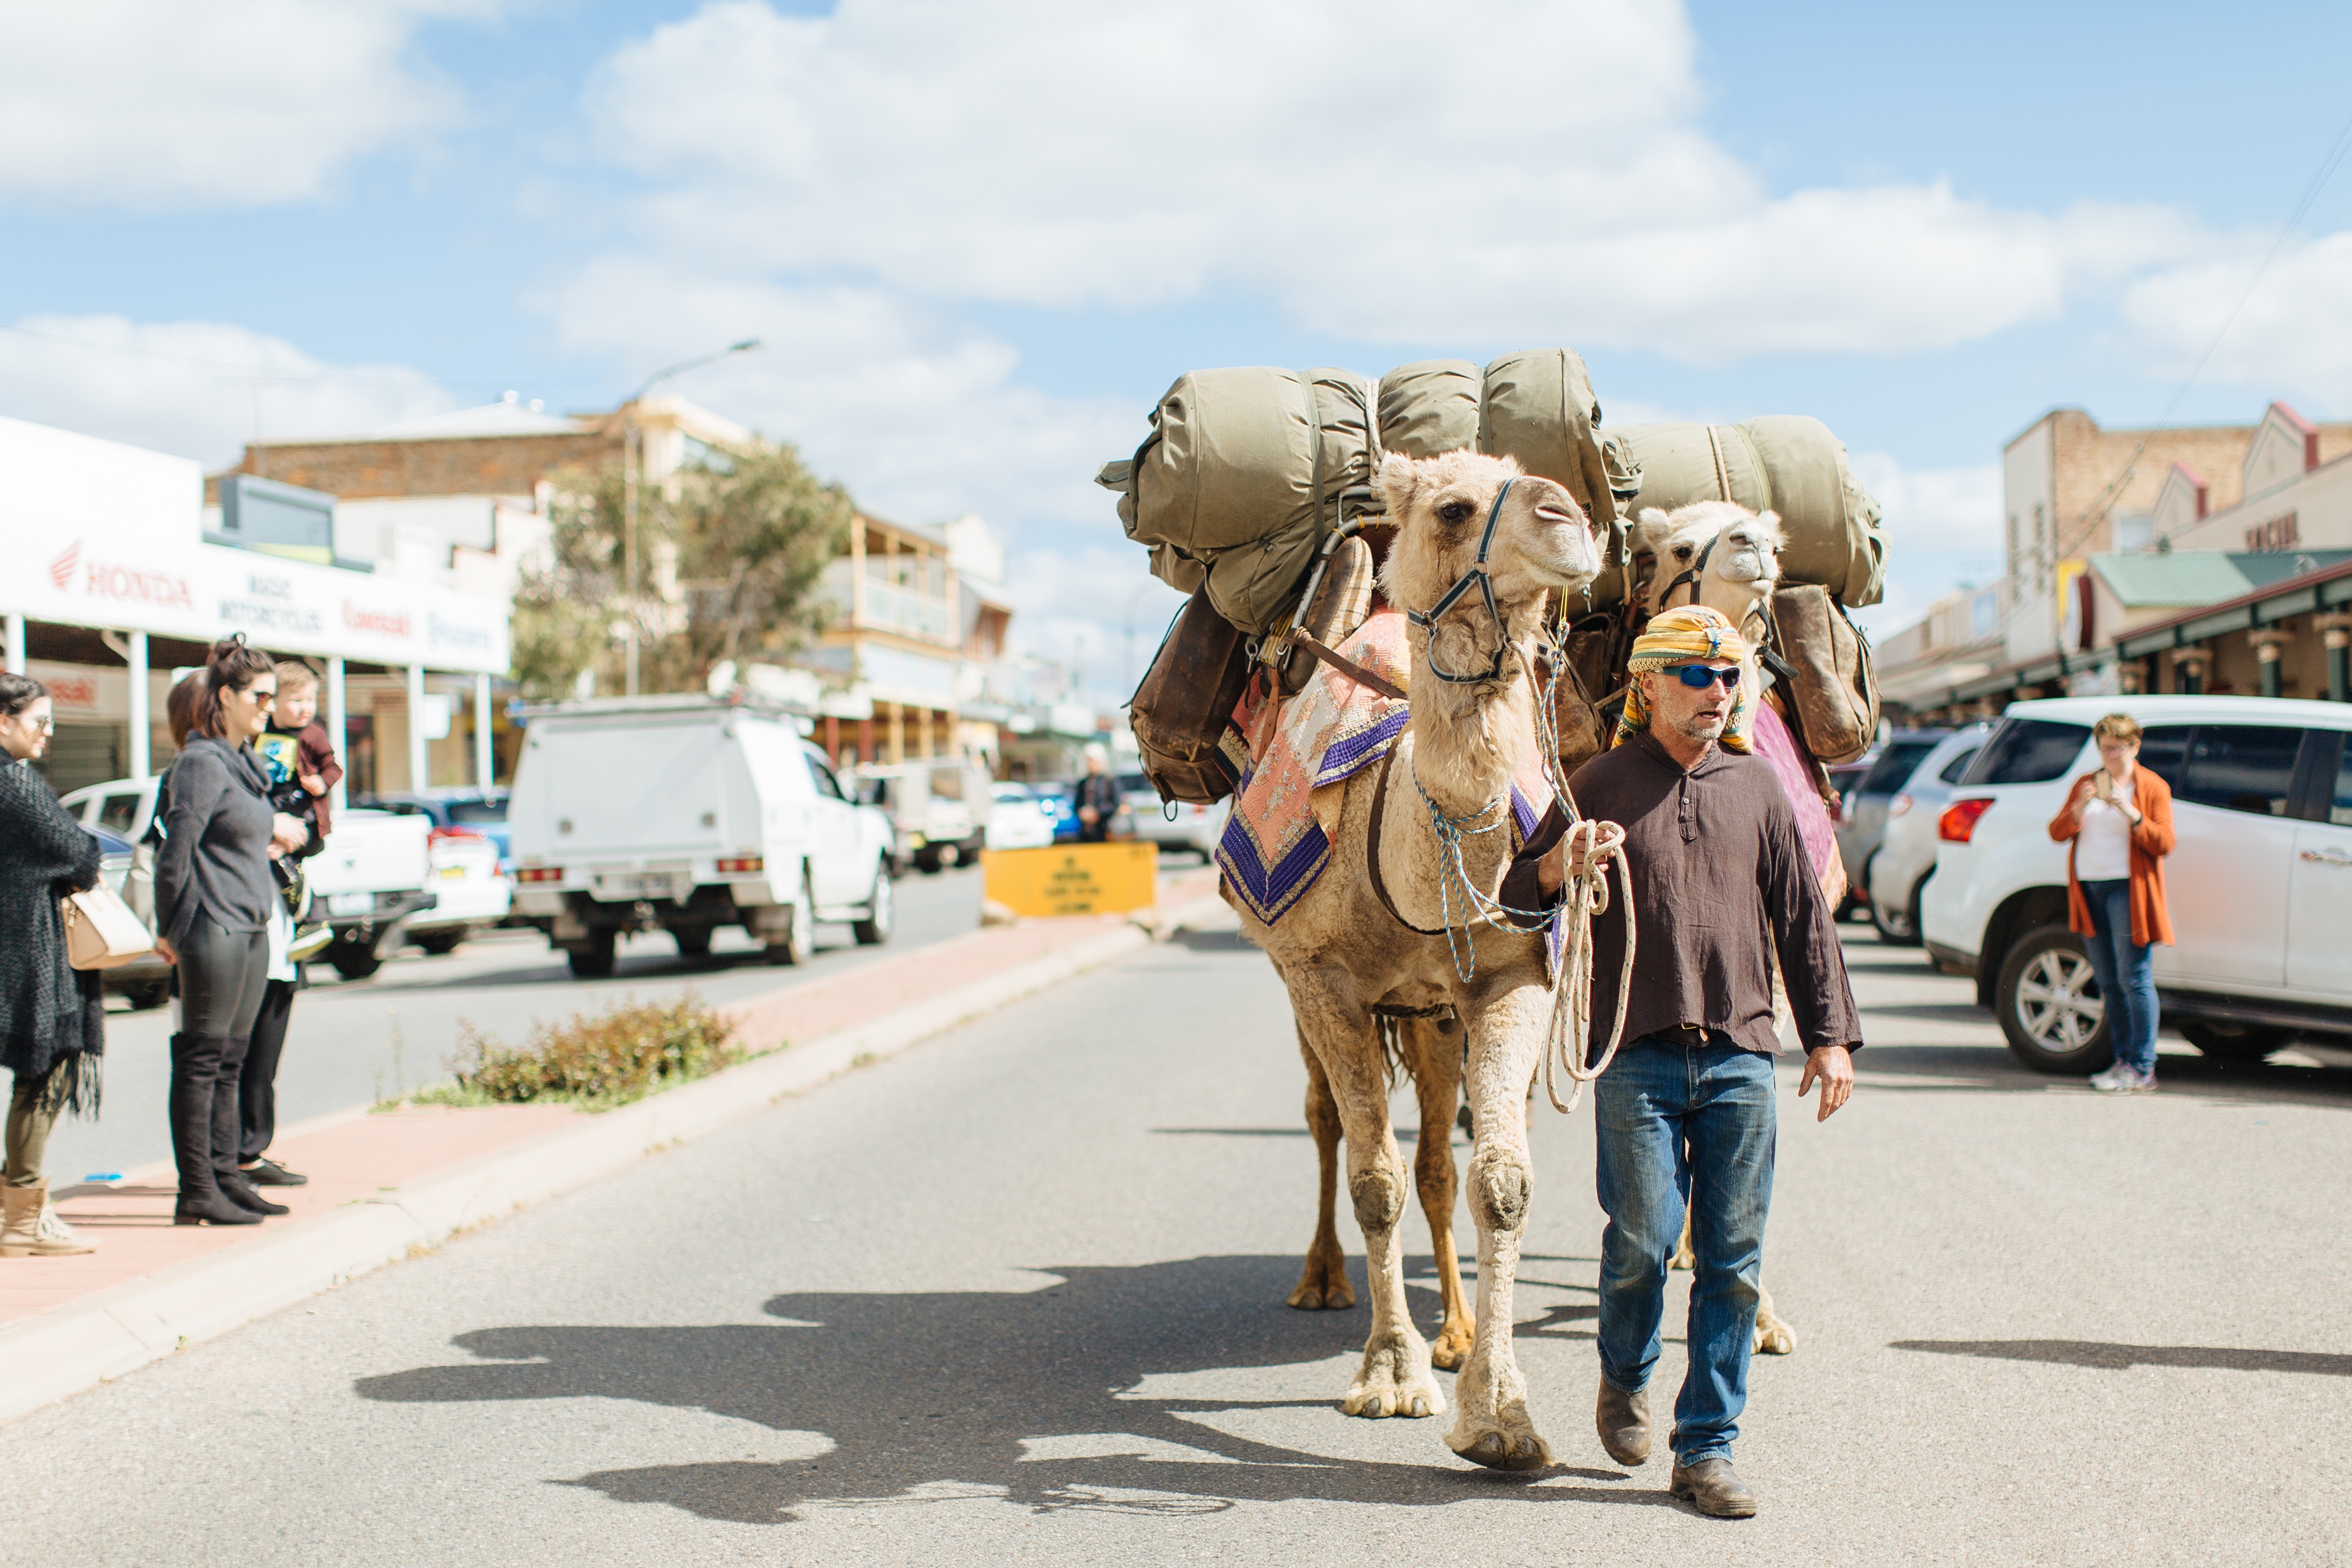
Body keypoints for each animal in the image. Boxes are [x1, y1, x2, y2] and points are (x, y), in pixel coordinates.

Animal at [1242, 444, 1609, 1476]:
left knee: (1442, 1160)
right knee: (1325, 1120)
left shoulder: (1511, 974)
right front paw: (1391, 1375)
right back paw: (1325, 1281)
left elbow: (1499, 1181)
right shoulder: (1322, 978)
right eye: (1452, 509)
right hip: (1303, 991)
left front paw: (1500, 1413)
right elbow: (1375, 1181)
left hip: (1436, 1011)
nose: (1572, 520)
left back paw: (1454, 1328)